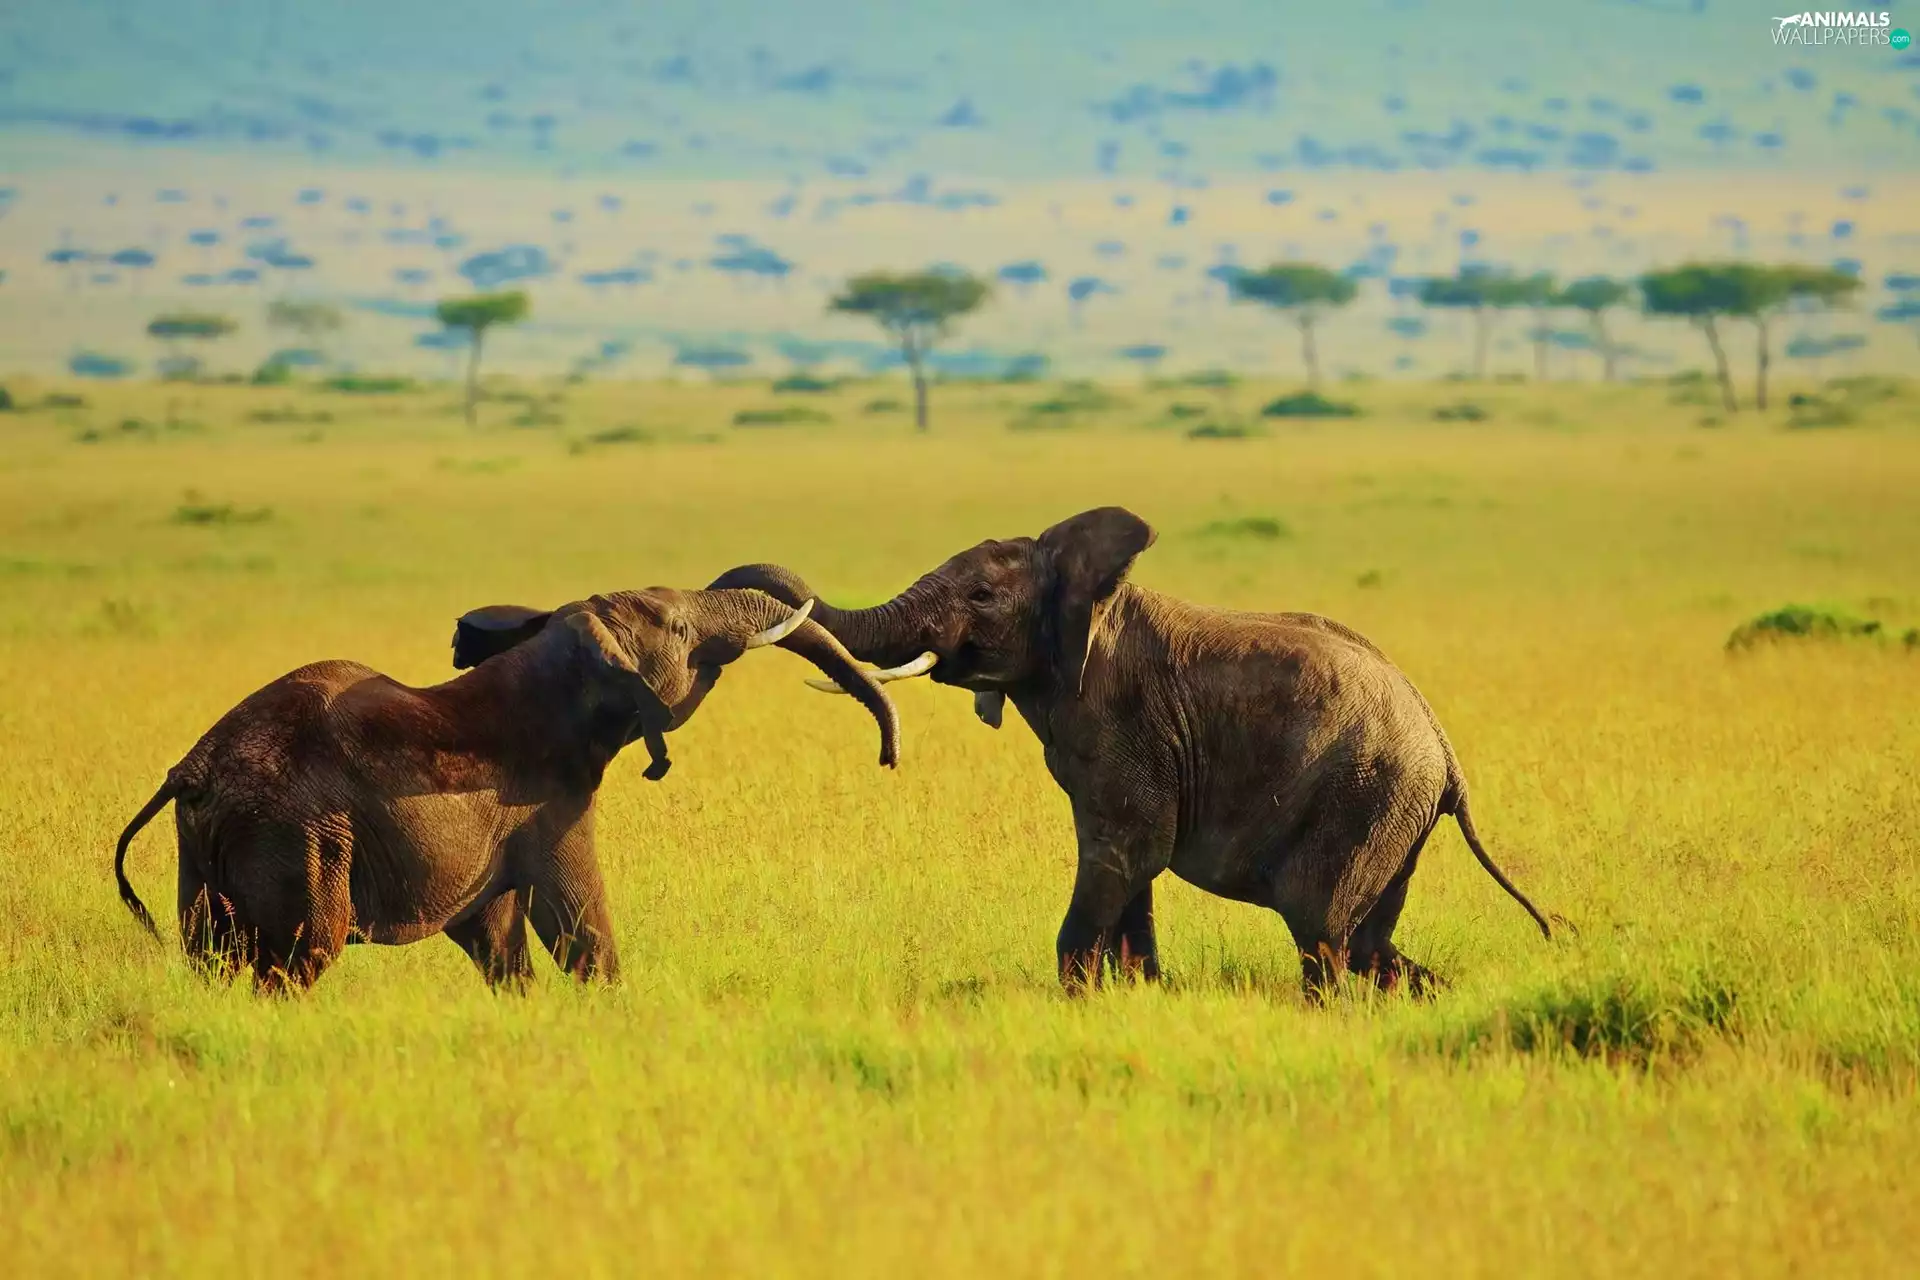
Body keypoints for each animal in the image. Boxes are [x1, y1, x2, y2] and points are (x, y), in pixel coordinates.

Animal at [113, 588, 899, 992]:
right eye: (679, 626)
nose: (889, 757)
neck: (557, 657)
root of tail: (192, 769)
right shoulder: (552, 801)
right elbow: (576, 920)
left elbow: (496, 939)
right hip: (295, 834)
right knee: (298, 955)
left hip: (211, 842)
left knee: (212, 957)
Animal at [703, 507, 1553, 997]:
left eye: (981, 597)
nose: (887, 758)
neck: (1089, 586)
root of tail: (1447, 755)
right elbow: (1132, 865)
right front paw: (1140, 993)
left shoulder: (1121, 719)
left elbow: (1126, 851)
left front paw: (1082, 999)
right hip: (1393, 815)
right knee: (1370, 945)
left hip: (1365, 797)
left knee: (1322, 932)